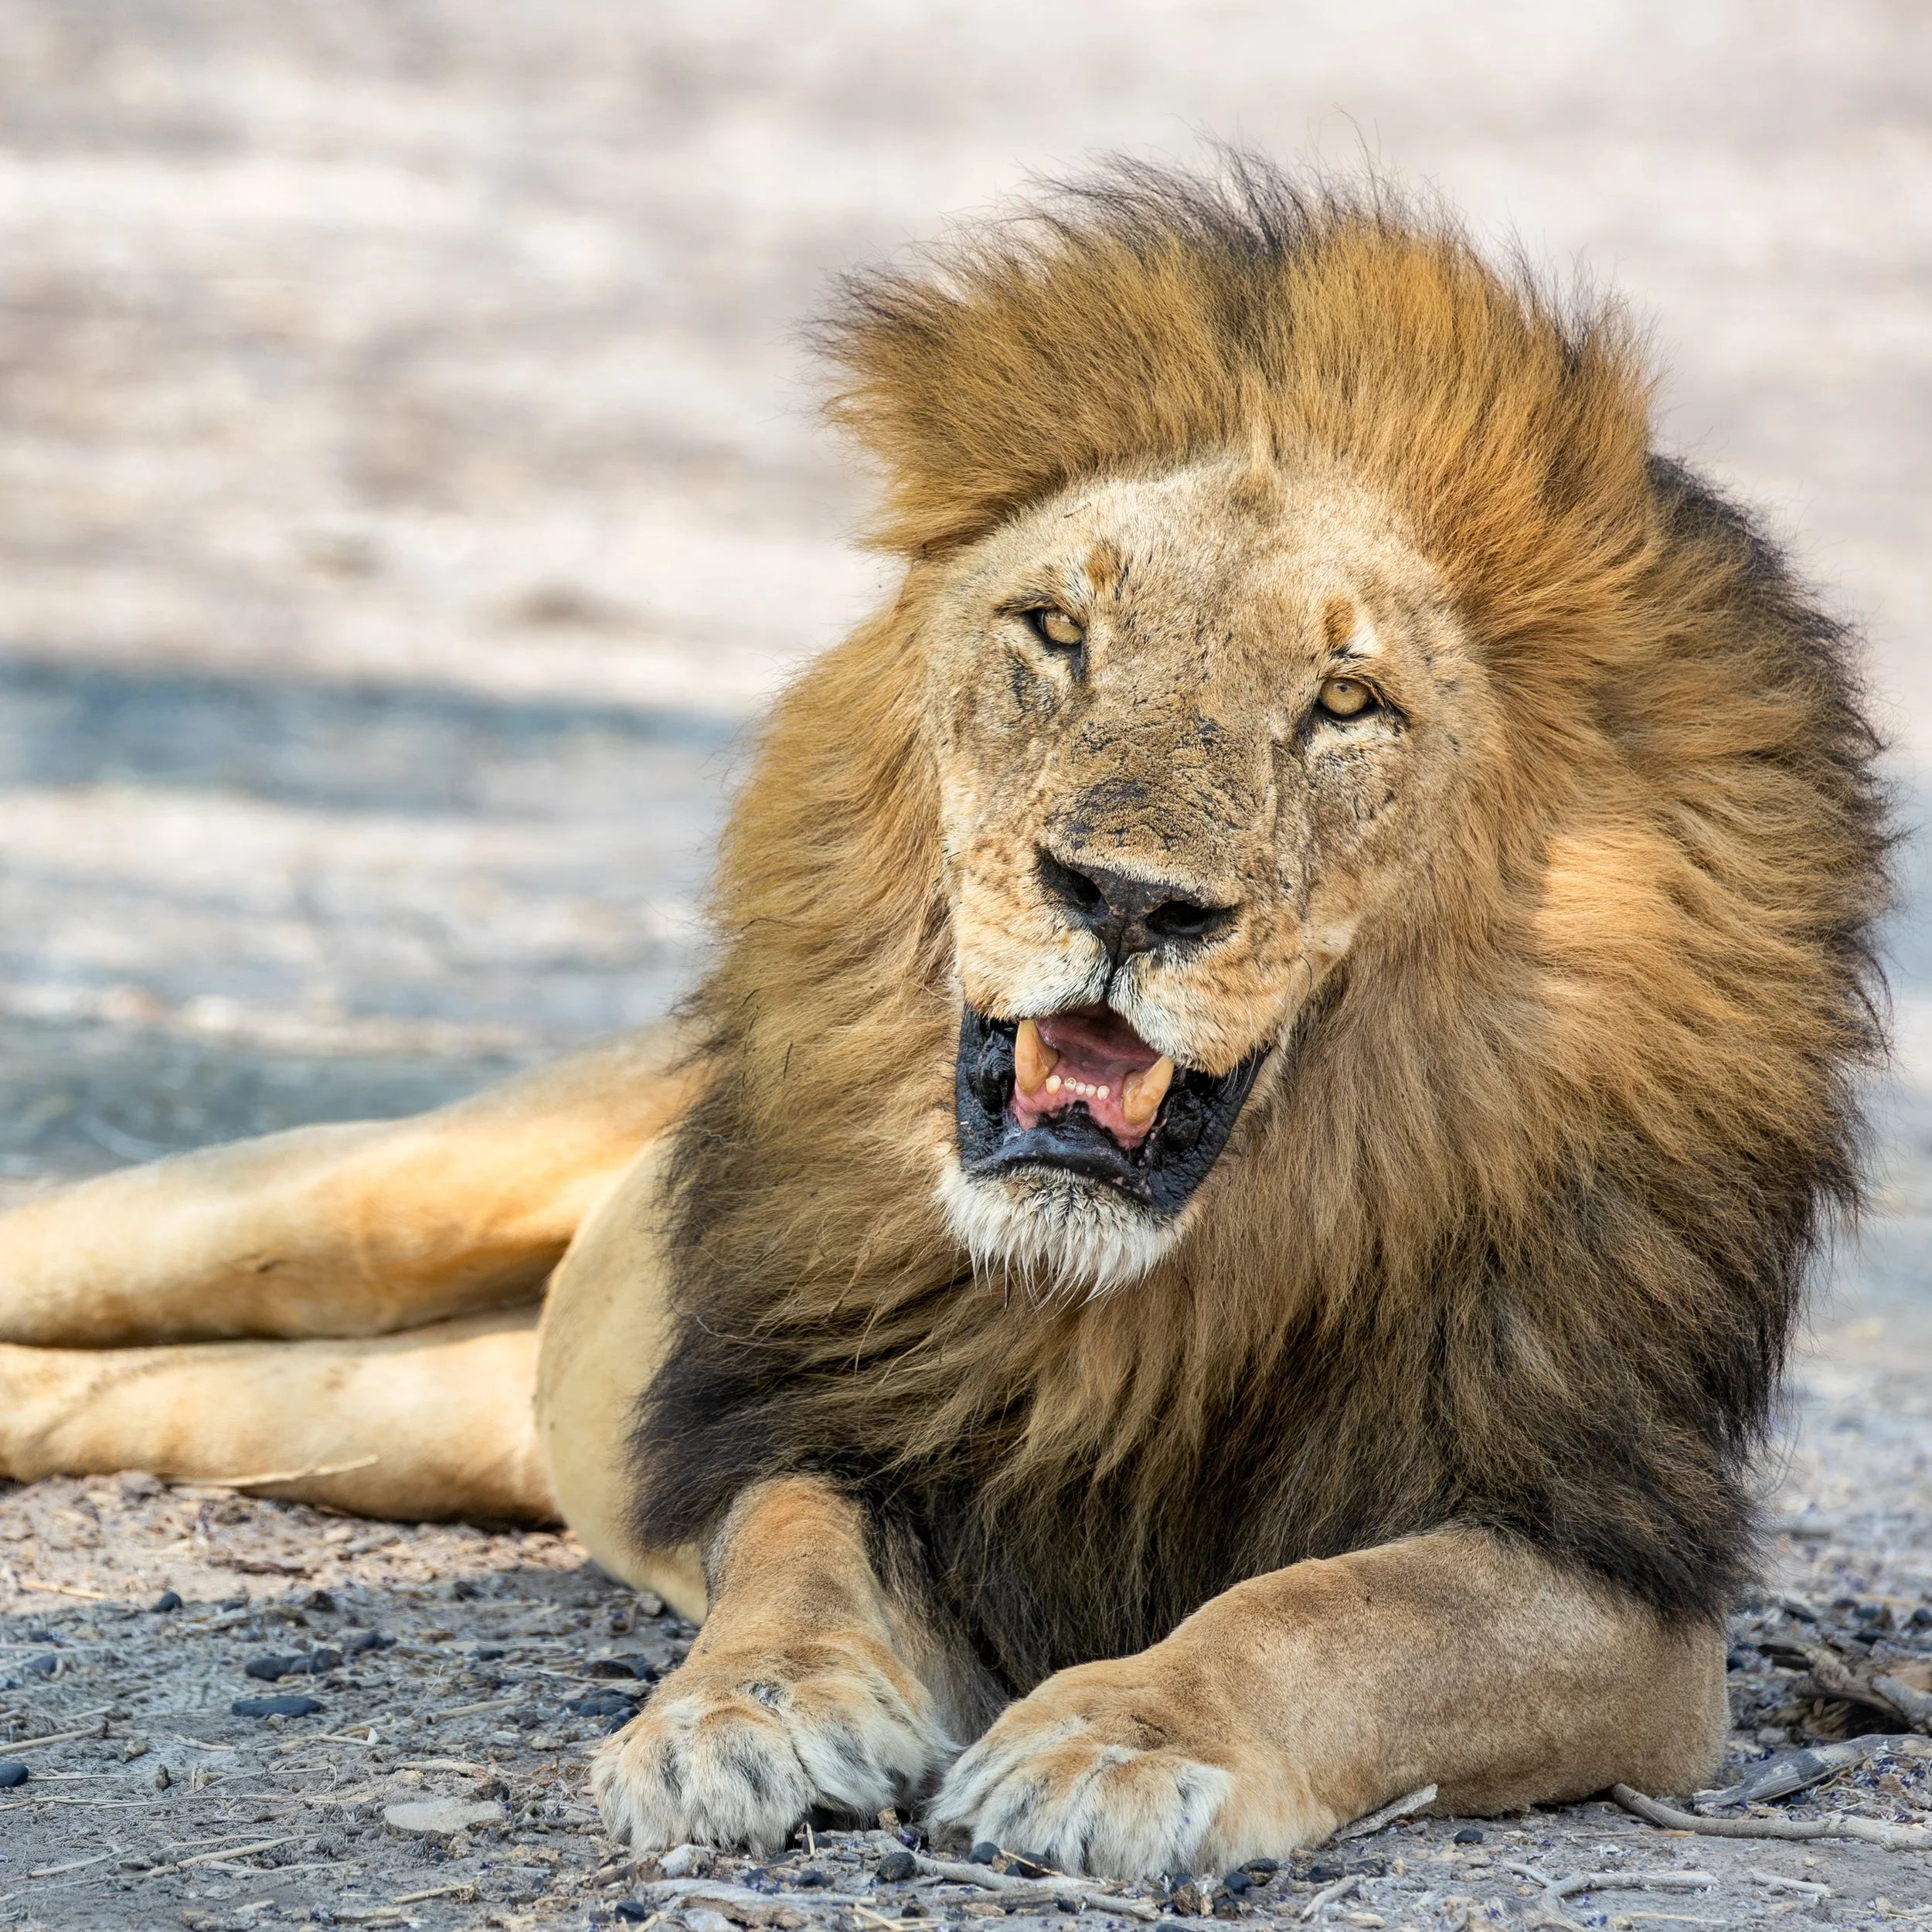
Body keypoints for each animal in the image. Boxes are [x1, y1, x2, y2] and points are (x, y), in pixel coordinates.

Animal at [0, 160, 1889, 1877]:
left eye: (1345, 702)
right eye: (1054, 629)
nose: (1123, 897)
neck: (1160, 1285)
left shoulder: (1616, 1577)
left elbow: (1336, 1609)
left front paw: (1125, 1739)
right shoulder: (849, 1420)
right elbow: (790, 1558)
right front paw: (738, 1717)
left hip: (427, 1411)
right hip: (361, 1200)